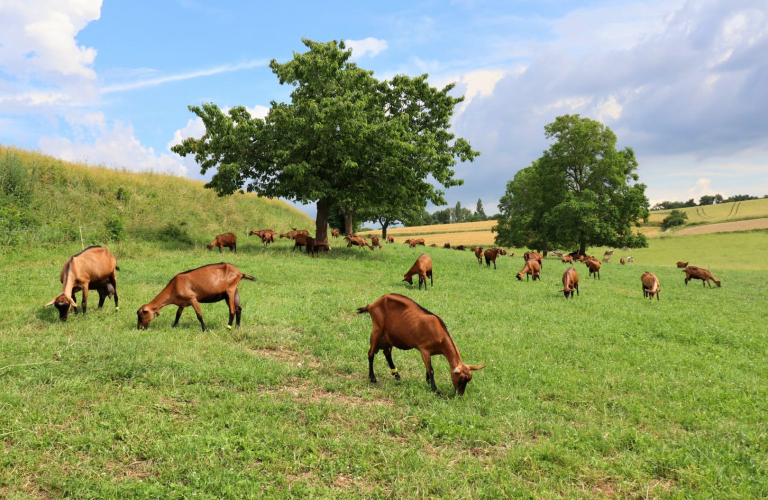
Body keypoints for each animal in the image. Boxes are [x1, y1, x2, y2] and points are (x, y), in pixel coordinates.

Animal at [356, 292, 484, 394]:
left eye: (469, 380)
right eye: (460, 379)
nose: (460, 394)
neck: (440, 334)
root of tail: (371, 305)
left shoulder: (430, 352)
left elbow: (428, 367)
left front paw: (428, 382)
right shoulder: (424, 349)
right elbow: (431, 369)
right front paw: (435, 390)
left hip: (388, 337)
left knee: (387, 353)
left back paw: (397, 376)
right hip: (377, 330)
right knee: (371, 353)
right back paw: (373, 378)